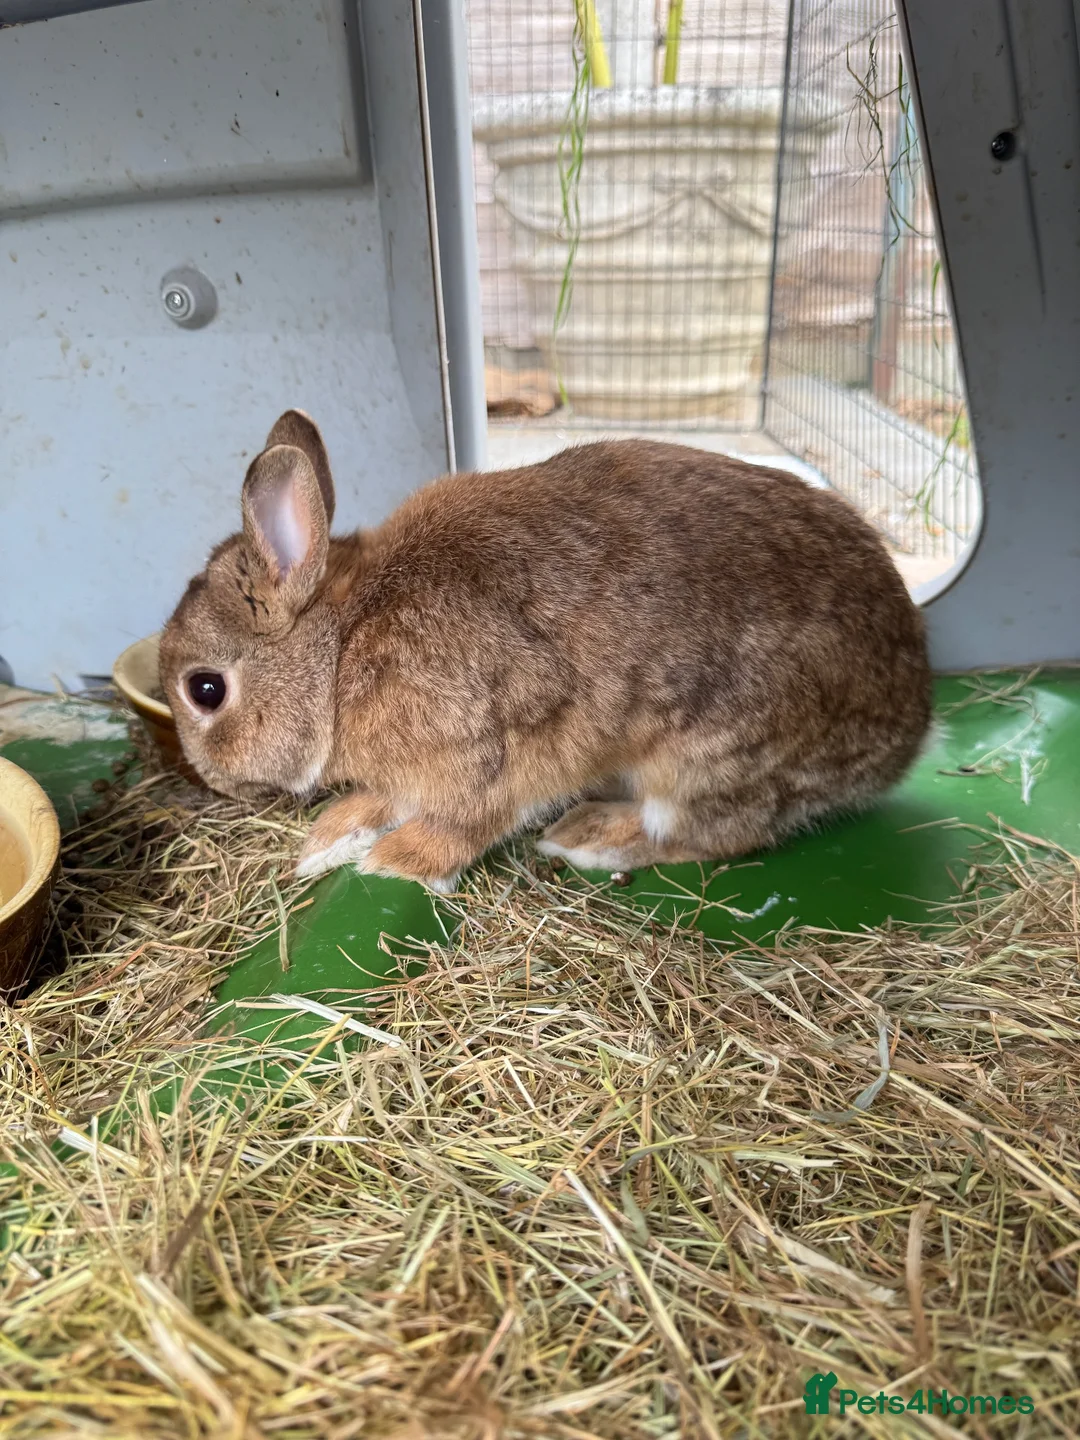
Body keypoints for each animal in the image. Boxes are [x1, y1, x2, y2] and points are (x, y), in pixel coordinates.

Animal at [159, 410, 932, 892]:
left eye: (205, 690)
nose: (206, 778)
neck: (342, 649)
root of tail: (909, 733)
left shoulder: (494, 749)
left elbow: (467, 820)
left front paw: (397, 863)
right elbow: (383, 798)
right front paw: (330, 838)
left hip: (705, 761)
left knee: (706, 834)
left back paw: (588, 835)